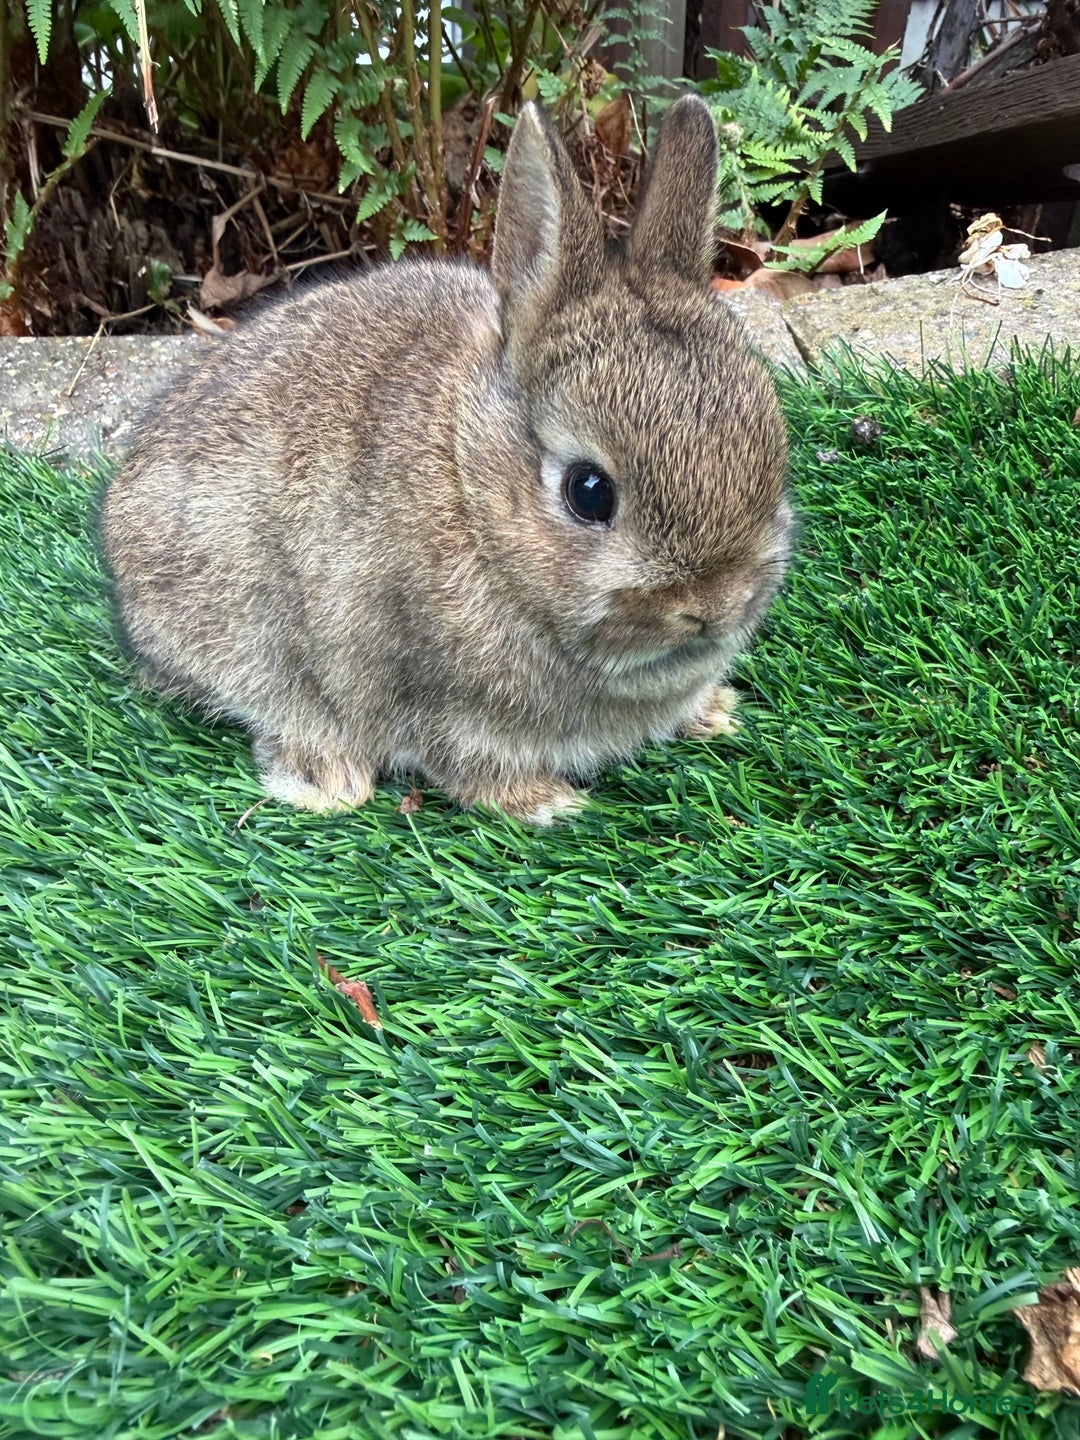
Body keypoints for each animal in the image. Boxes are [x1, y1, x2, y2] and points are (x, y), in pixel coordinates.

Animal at [101, 94, 792, 825]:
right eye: (589, 492)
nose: (714, 606)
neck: (470, 485)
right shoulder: (441, 703)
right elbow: (469, 765)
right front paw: (552, 804)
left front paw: (714, 712)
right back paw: (330, 779)